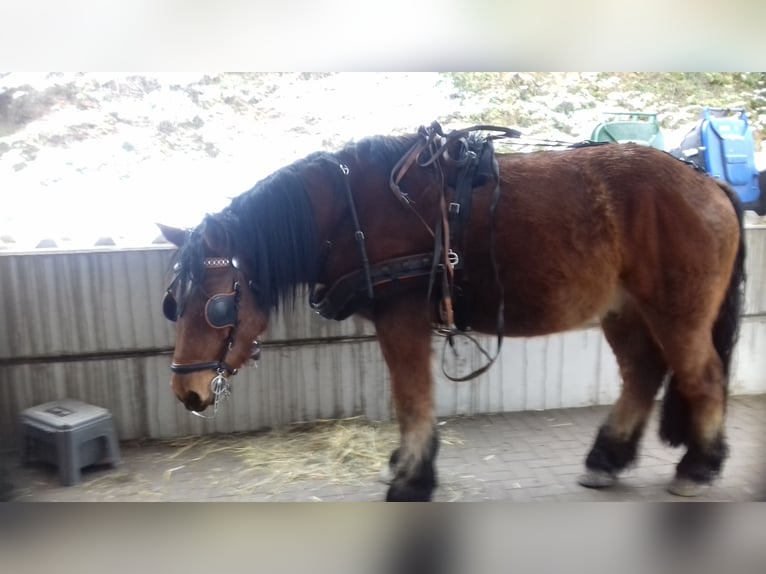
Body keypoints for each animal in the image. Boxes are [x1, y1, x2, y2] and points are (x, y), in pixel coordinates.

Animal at [159, 122, 745, 501]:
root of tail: (706, 180)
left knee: (703, 377)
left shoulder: (402, 317)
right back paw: (608, 459)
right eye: (174, 303)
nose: (187, 392)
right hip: (624, 310)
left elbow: (412, 398)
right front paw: (406, 466)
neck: (355, 210)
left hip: (678, 312)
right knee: (642, 374)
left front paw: (412, 479)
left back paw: (698, 467)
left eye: (215, 303)